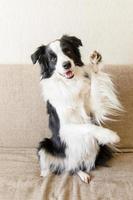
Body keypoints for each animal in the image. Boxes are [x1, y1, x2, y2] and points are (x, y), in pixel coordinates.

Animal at [30, 34, 121, 183]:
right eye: (53, 58)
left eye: (67, 51)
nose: (66, 64)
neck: (69, 84)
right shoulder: (64, 128)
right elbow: (87, 126)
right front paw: (110, 135)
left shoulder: (93, 111)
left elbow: (96, 85)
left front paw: (95, 63)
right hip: (45, 144)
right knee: (65, 166)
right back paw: (44, 174)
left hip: (96, 147)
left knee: (76, 166)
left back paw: (83, 173)